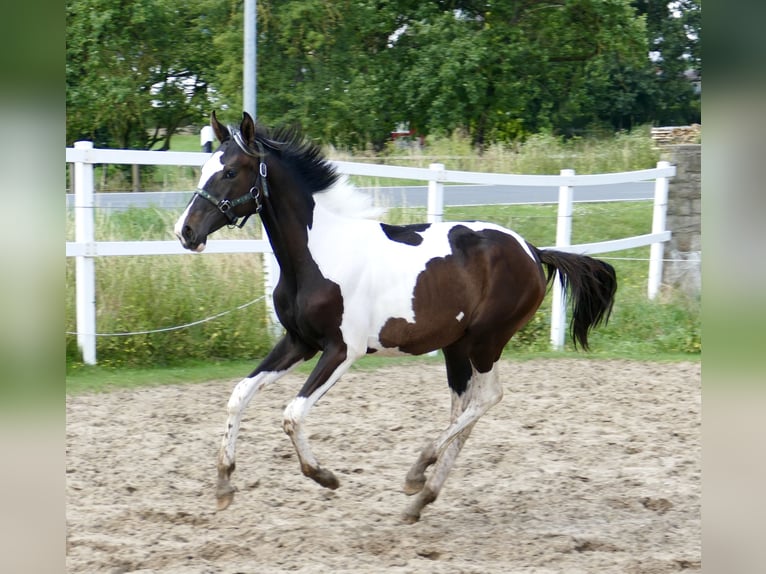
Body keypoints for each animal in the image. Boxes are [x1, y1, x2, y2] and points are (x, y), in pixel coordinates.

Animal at [174, 112, 616, 528]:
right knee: (464, 410)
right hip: (456, 347)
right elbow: (239, 395)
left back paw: (416, 474)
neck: (319, 252)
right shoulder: (298, 342)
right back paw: (421, 498)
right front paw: (223, 487)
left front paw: (325, 477)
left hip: (486, 341)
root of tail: (532, 250)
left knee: (487, 398)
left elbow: (292, 413)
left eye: (231, 172)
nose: (186, 231)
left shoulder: (343, 350)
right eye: (204, 168)